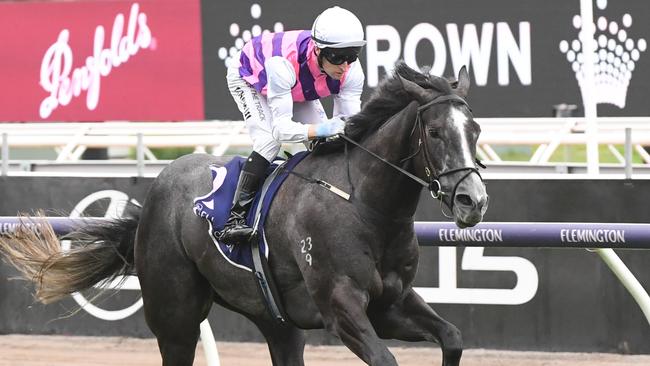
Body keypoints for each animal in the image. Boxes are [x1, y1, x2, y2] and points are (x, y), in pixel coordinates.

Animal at [0, 63, 480, 366]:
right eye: (435, 132)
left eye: (474, 130)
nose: (472, 200)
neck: (364, 205)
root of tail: (157, 188)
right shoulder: (341, 306)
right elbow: (386, 358)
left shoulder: (390, 303)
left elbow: (454, 338)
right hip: (175, 318)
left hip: (275, 319)